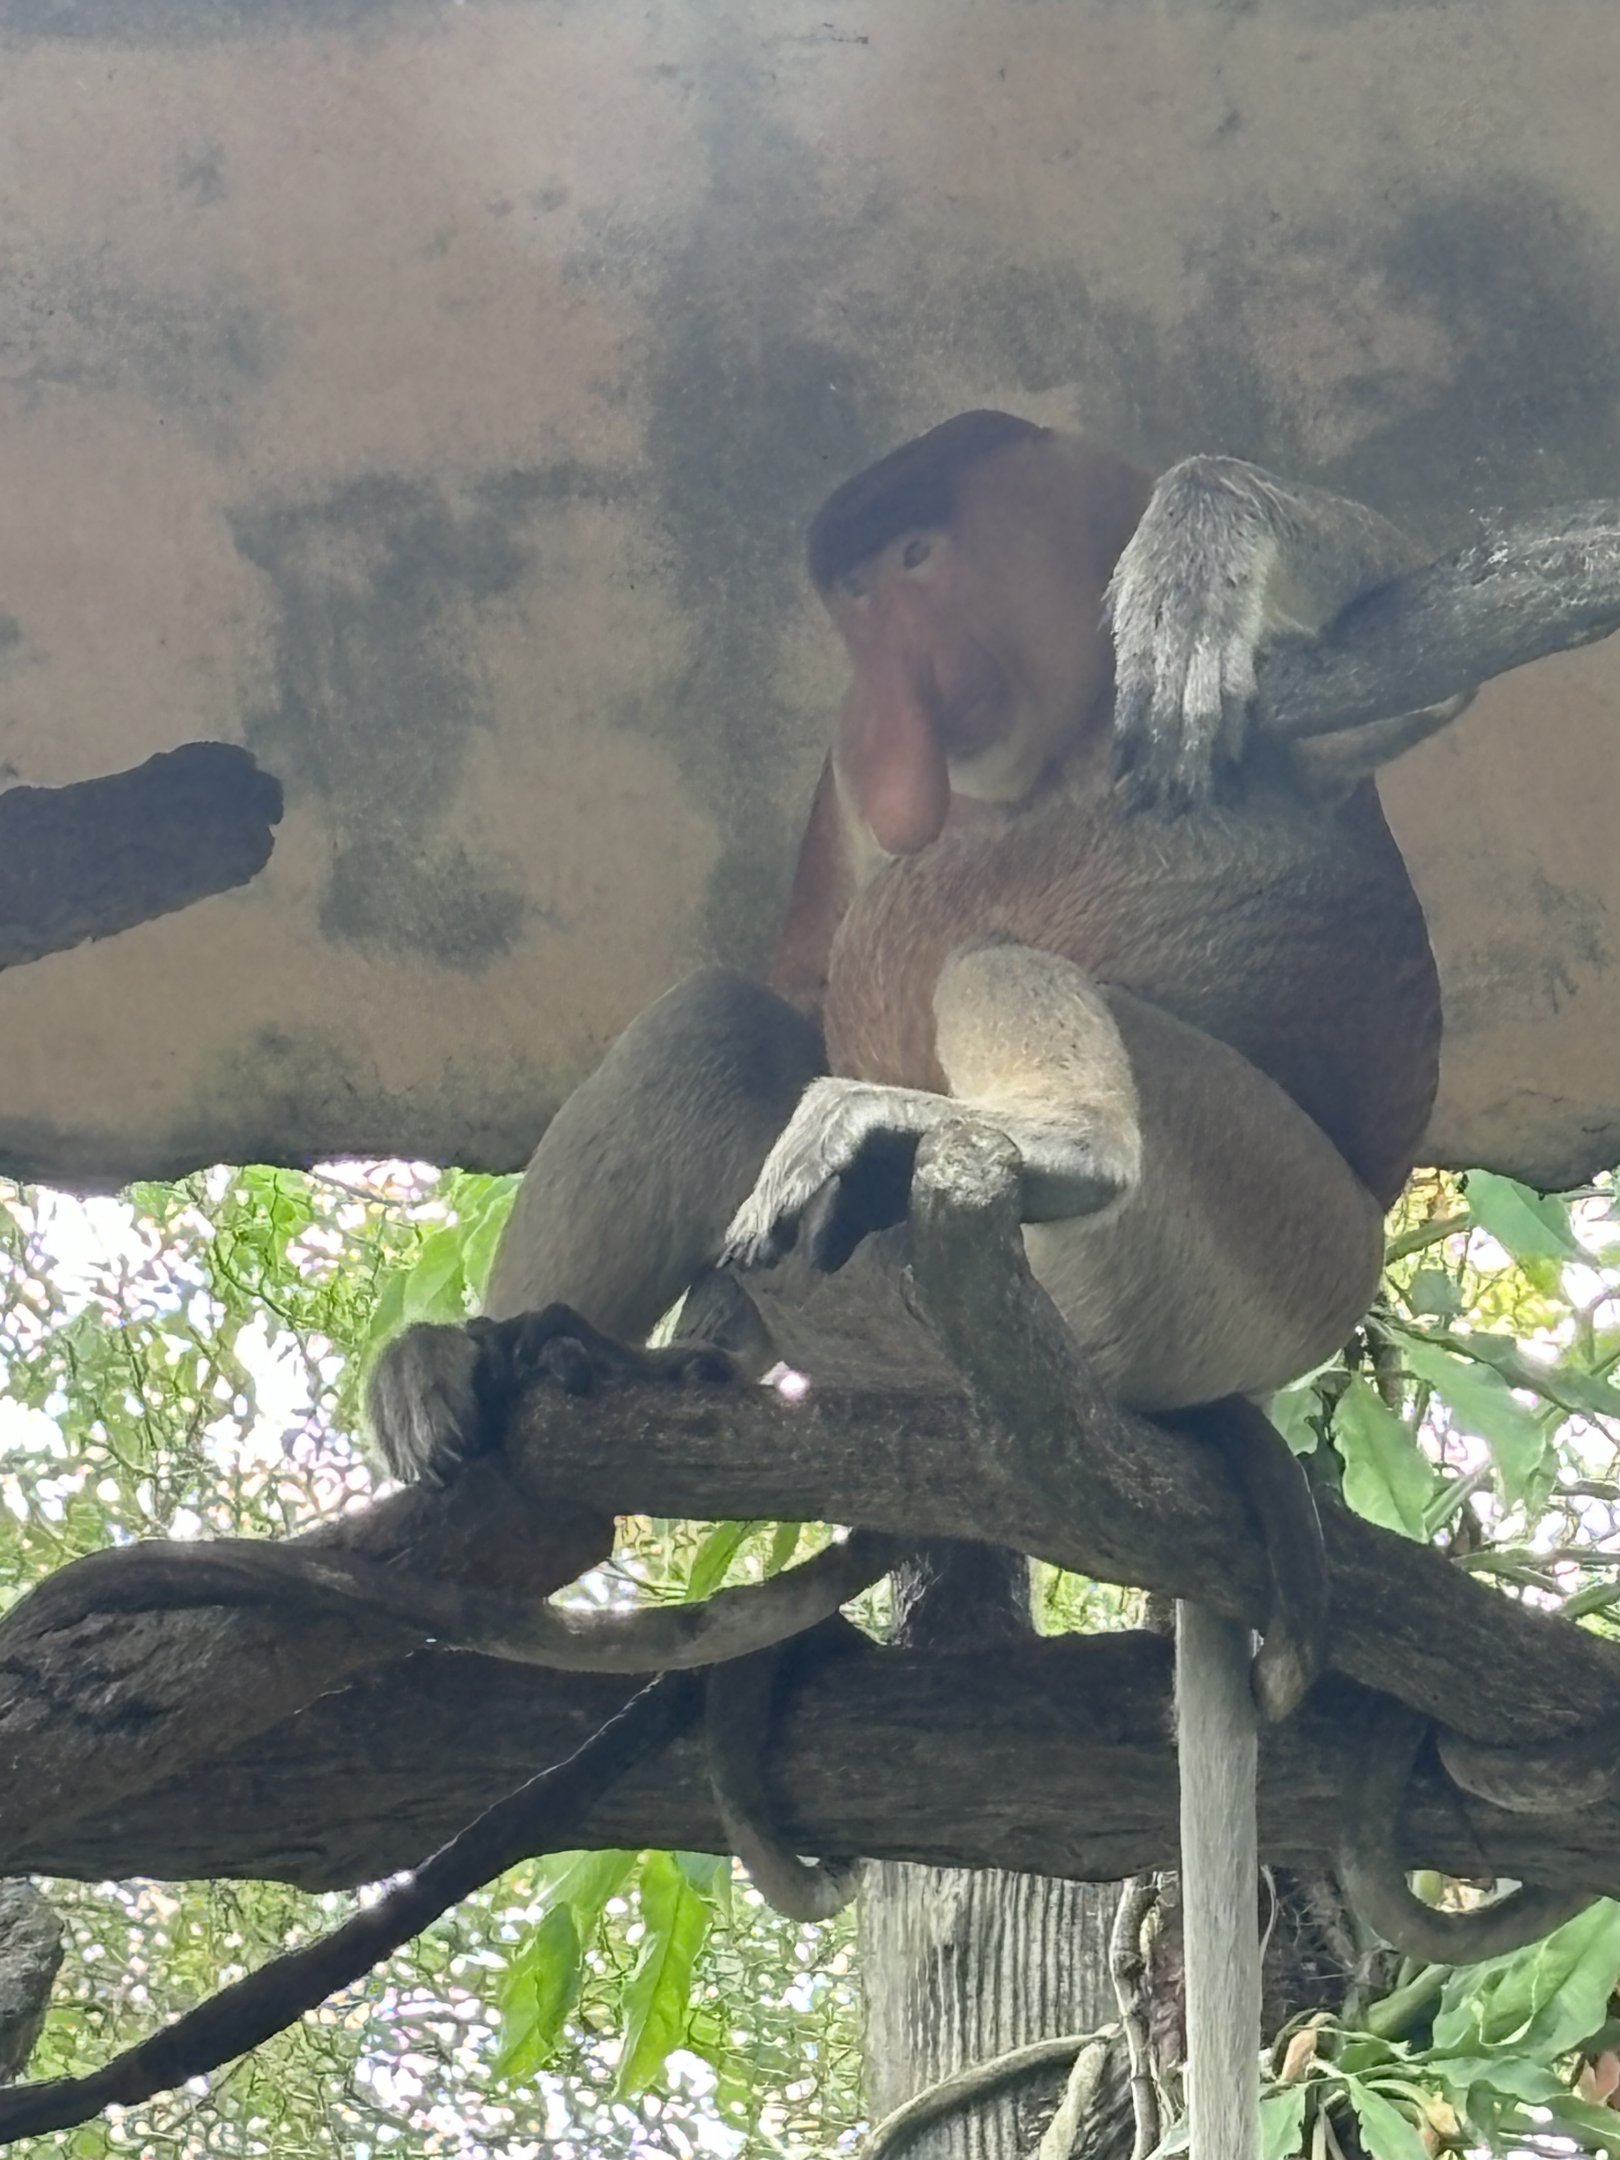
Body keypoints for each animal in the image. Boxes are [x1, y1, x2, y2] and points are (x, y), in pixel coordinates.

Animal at [367, 412, 1557, 2158]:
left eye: (916, 565)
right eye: (849, 600)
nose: (874, 723)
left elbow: (1440, 646)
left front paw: (1198, 557)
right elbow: (800, 975)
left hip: (1267, 1238)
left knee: (985, 962)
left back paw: (1039, 1145)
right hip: (895, 1303)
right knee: (732, 1025)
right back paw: (488, 1372)